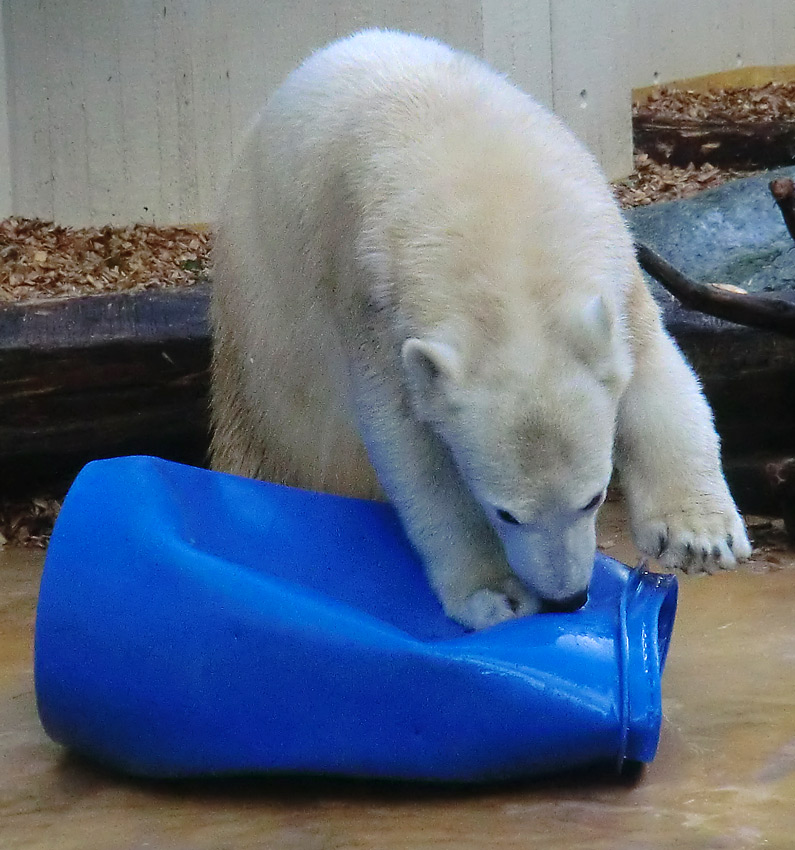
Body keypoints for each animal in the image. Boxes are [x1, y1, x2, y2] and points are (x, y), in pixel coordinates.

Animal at [211, 29, 752, 628]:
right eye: (505, 513)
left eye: (594, 496)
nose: (568, 599)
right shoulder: (371, 308)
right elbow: (414, 452)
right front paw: (497, 594)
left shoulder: (614, 260)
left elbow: (656, 370)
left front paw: (700, 538)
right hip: (262, 320)